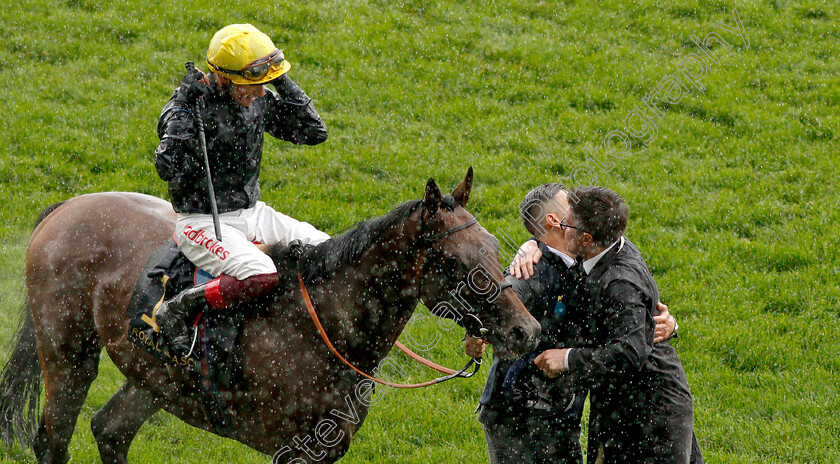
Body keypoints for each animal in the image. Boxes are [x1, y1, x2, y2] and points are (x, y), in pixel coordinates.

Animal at [0, 168, 540, 464]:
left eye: (494, 250)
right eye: (455, 263)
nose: (527, 331)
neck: (325, 325)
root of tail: (68, 206)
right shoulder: (294, 450)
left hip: (154, 379)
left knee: (109, 430)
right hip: (68, 355)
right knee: (52, 441)